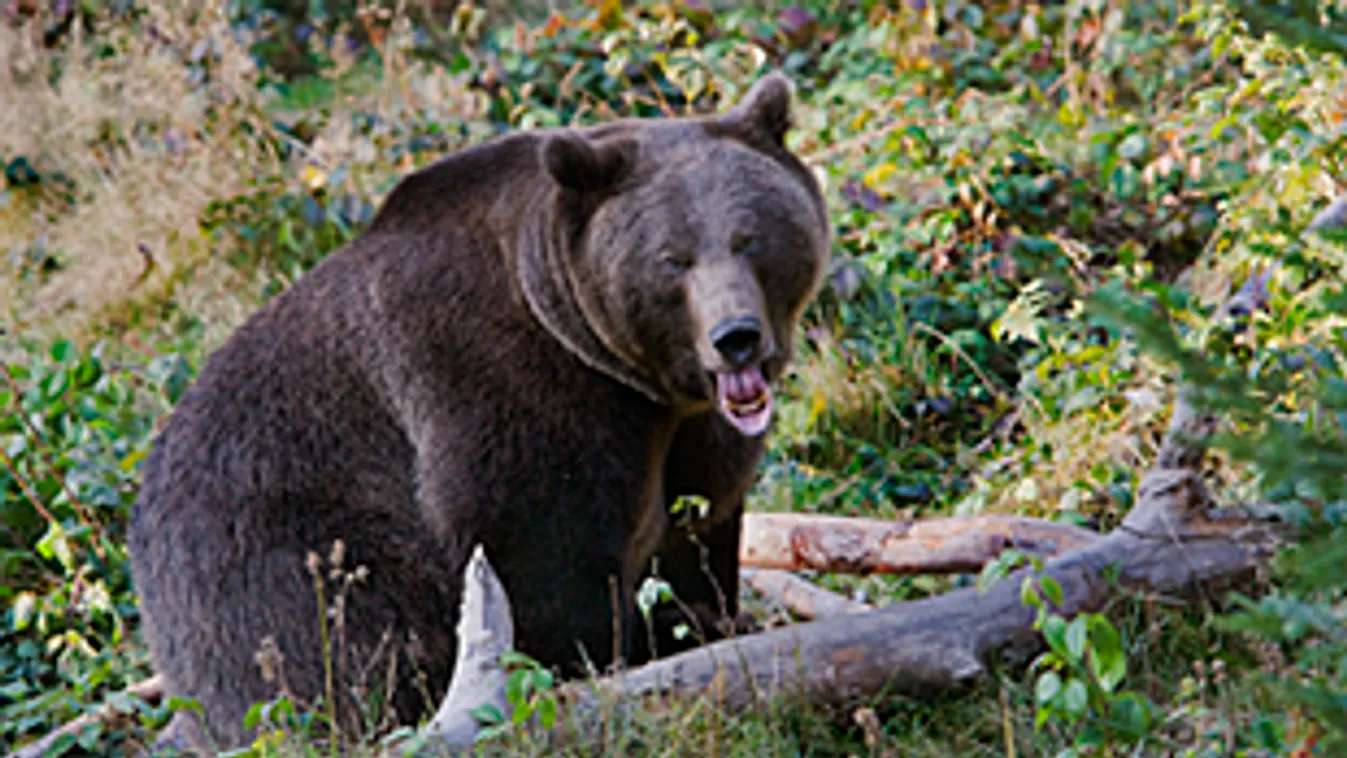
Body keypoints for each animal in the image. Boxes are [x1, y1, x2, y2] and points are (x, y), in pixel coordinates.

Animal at [131, 72, 829, 753]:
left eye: (750, 238)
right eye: (673, 259)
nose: (736, 336)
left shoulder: (692, 433)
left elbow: (700, 524)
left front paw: (708, 614)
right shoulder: (498, 381)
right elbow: (539, 554)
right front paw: (621, 649)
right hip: (274, 545)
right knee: (329, 645)